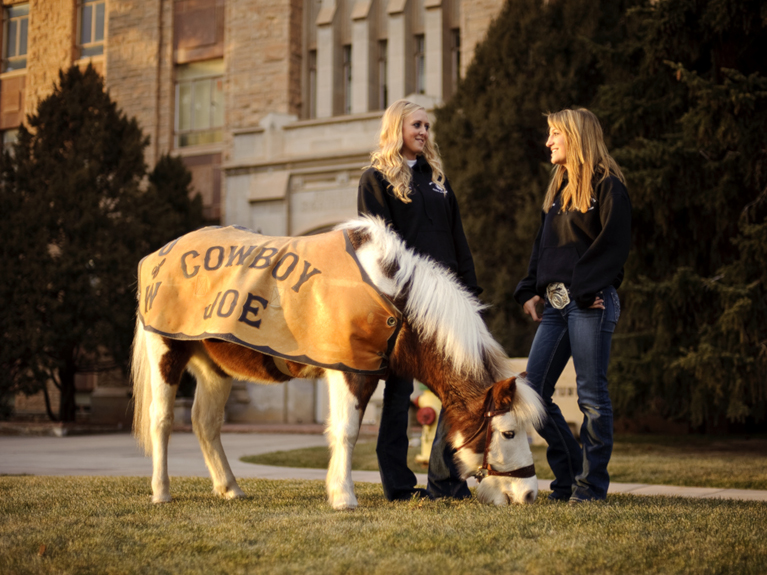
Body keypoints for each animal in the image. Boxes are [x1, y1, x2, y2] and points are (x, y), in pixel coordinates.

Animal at [135, 216, 548, 508]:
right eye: (509, 433)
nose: (529, 494)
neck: (391, 298)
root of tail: (156, 256)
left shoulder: (359, 370)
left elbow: (341, 429)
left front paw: (336, 492)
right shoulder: (351, 371)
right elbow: (346, 431)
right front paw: (345, 497)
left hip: (215, 367)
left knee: (205, 423)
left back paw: (229, 488)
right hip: (166, 350)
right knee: (162, 419)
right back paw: (161, 491)